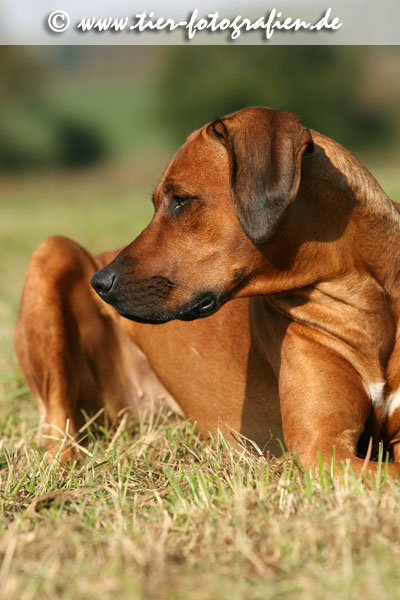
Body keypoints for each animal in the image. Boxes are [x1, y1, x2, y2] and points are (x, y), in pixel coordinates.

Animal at [14, 105, 400, 476]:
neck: (359, 299)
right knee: (58, 430)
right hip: (51, 253)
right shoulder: (322, 447)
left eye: (181, 200)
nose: (100, 283)